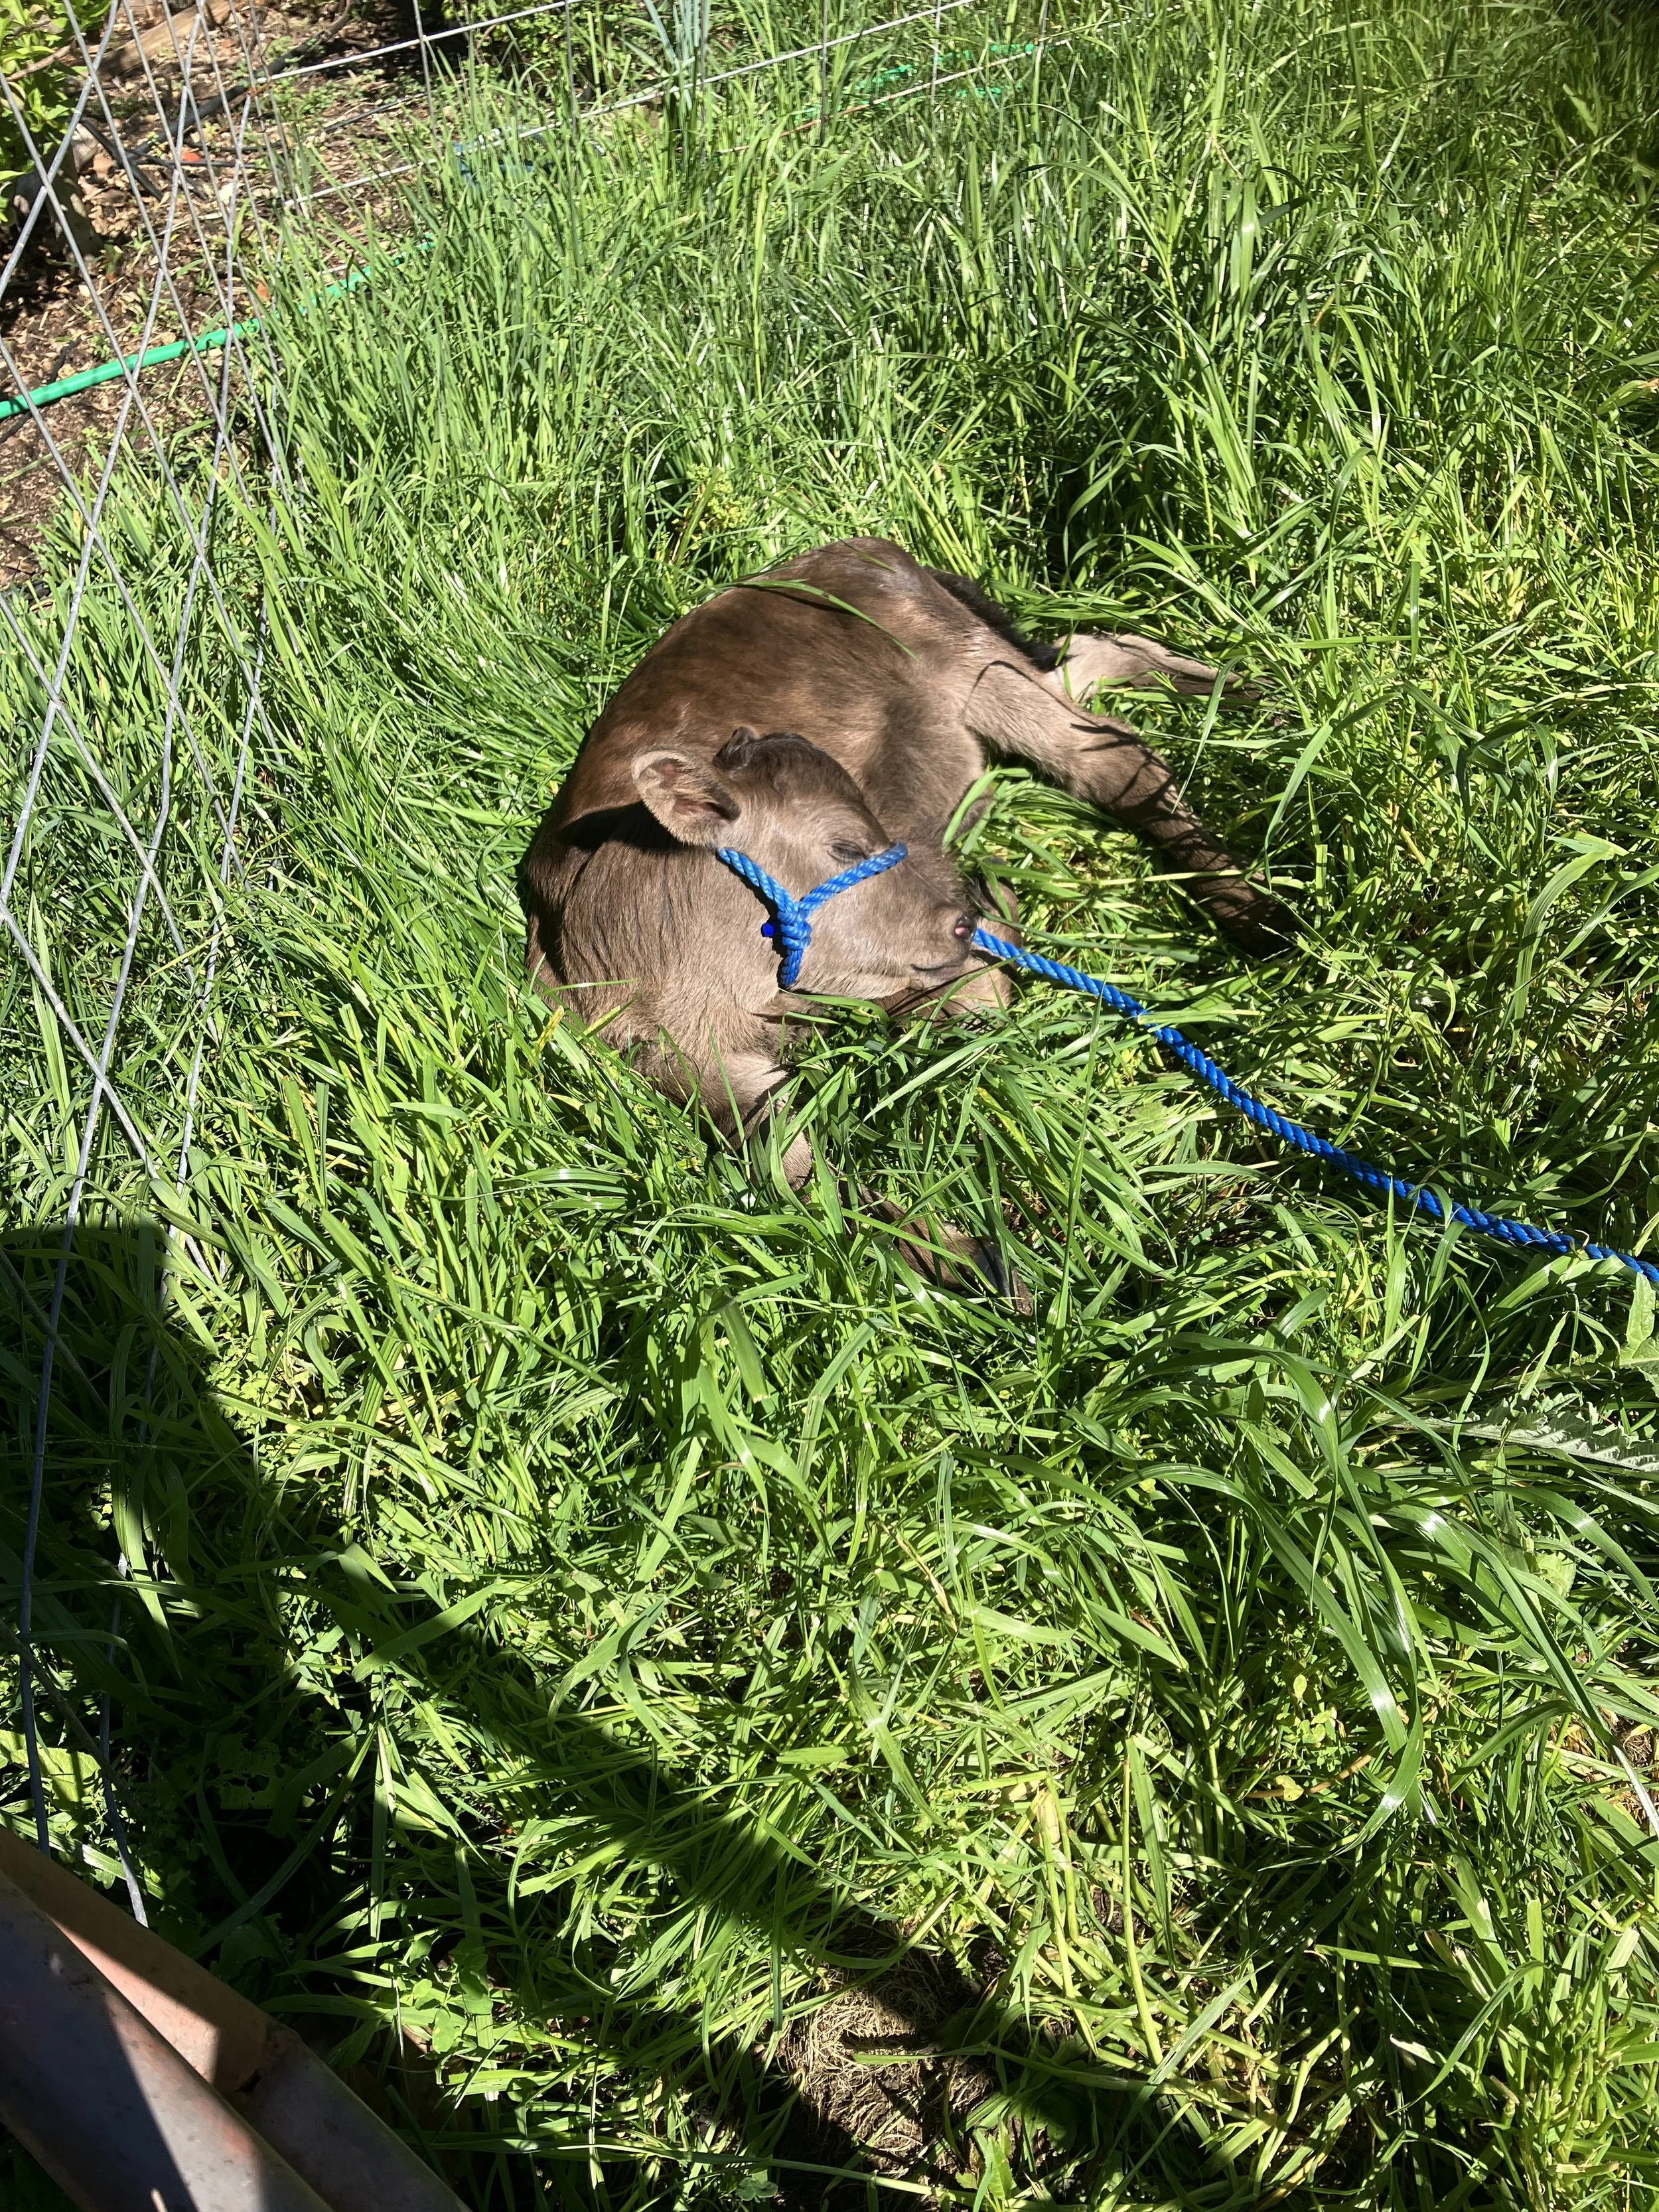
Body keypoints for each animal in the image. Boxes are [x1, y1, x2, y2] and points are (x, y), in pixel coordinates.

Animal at [519, 536, 1288, 1201]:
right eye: (844, 846)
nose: (961, 920)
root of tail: (857, 547)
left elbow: (977, 1008)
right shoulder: (695, 1065)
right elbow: (790, 1166)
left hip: (977, 666)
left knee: (1110, 757)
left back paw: (1262, 903)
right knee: (1090, 657)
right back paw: (1246, 687)